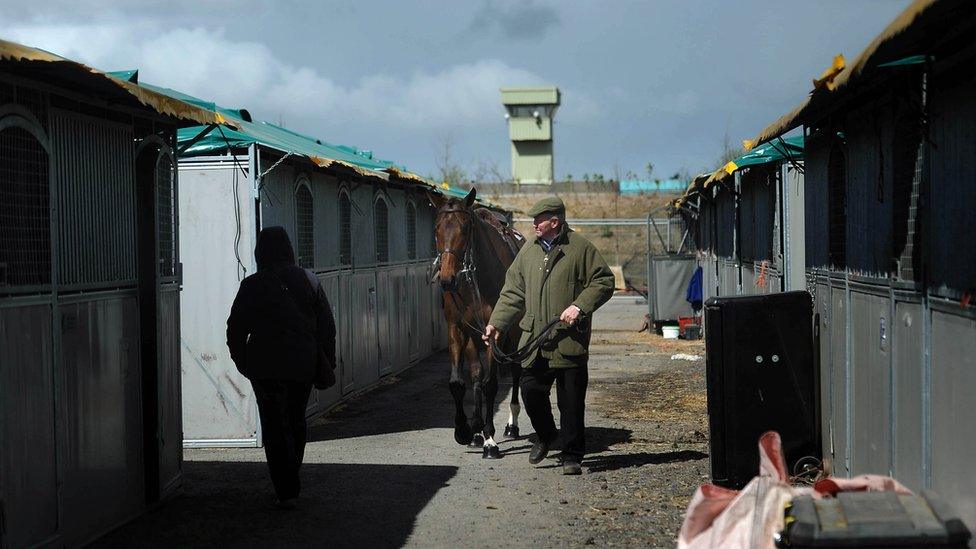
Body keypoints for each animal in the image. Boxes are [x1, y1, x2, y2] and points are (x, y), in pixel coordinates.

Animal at [432, 188, 528, 458]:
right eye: (437, 229)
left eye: (465, 229)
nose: (447, 279)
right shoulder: (457, 330)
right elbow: (460, 382)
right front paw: (465, 431)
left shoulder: (494, 333)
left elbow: (491, 385)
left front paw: (490, 440)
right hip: (475, 337)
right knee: (476, 373)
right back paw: (476, 432)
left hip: (514, 333)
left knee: (515, 371)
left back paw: (511, 425)